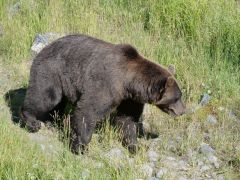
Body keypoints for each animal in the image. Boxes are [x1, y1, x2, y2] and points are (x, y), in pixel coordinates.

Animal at [20, 34, 186, 154]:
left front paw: (135, 146)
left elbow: (127, 119)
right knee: (45, 97)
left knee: (58, 102)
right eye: (177, 97)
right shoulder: (106, 85)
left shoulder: (129, 99)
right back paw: (32, 122)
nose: (183, 110)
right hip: (51, 71)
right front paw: (81, 146)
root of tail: (44, 47)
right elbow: (88, 111)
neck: (128, 82)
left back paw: (54, 121)